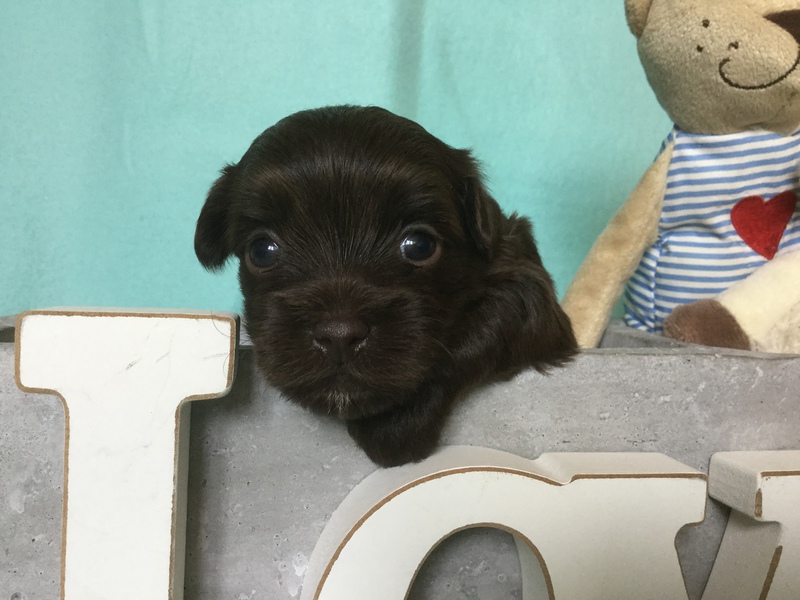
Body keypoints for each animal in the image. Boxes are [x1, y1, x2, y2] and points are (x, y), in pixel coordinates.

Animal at [194, 105, 577, 467]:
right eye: (262, 251)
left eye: (419, 245)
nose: (339, 336)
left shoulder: (527, 284)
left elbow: (485, 323)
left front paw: (398, 423)